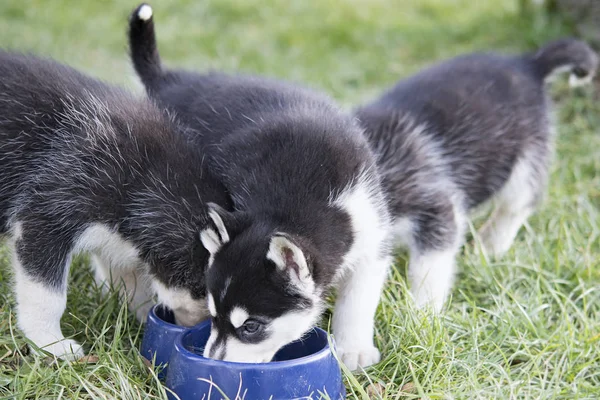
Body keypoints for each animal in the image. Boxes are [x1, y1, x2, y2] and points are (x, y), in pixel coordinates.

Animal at [129, 4, 394, 370]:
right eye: (213, 315)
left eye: (251, 327)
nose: (214, 362)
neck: (299, 199)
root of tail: (170, 80)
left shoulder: (370, 233)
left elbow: (358, 300)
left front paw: (353, 348)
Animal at [354, 37, 596, 310]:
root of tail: (528, 64)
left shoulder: (434, 205)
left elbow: (430, 269)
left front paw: (422, 312)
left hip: (526, 160)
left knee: (518, 204)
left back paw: (490, 246)